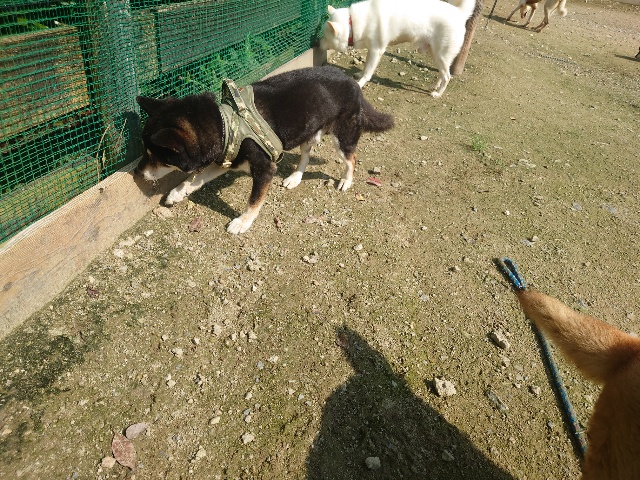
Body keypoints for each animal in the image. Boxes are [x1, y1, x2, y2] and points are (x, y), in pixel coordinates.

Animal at [135, 66, 394, 234]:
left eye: (154, 156)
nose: (137, 173)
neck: (225, 124)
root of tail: (352, 82)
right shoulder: (227, 159)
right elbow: (194, 179)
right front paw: (177, 193)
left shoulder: (264, 168)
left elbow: (254, 200)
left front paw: (243, 222)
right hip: (307, 132)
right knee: (305, 156)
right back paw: (295, 177)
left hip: (343, 137)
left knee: (352, 158)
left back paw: (346, 181)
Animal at [318, 0, 477, 98]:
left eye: (325, 37)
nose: (318, 44)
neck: (353, 23)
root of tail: (459, 13)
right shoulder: (372, 50)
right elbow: (366, 65)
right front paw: (359, 74)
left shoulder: (377, 50)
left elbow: (368, 71)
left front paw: (360, 83)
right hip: (436, 54)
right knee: (442, 74)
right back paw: (434, 86)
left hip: (441, 55)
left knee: (447, 76)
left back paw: (438, 94)